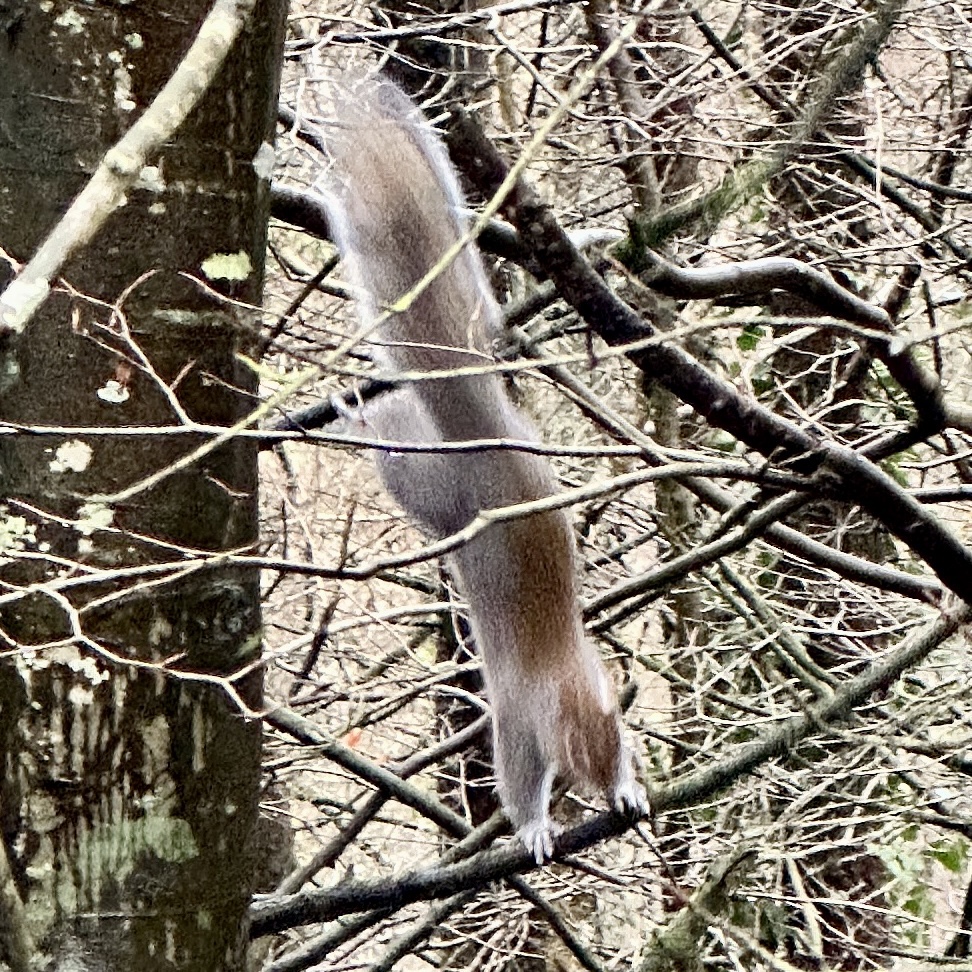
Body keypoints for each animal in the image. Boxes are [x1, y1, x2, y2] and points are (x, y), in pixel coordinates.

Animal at [318, 79, 644, 860]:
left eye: (619, 737)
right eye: (570, 750)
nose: (598, 790)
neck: (565, 676)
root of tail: (482, 435)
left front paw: (629, 790)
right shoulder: (520, 724)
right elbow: (517, 779)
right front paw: (534, 827)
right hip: (430, 484)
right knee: (395, 451)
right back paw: (356, 414)